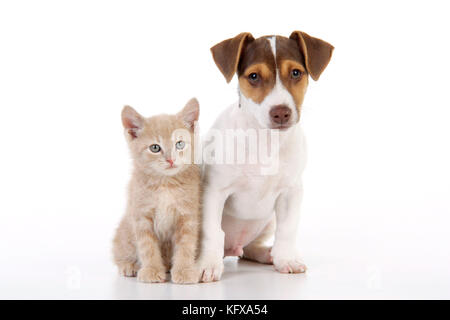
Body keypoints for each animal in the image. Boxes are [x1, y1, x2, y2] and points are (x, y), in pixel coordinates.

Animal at [113, 99, 201, 284]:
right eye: (155, 148)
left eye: (179, 144)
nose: (171, 160)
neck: (165, 184)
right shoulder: (141, 215)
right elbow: (147, 246)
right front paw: (152, 270)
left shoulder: (187, 215)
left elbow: (186, 245)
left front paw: (184, 270)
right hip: (125, 230)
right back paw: (128, 265)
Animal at [199, 30, 332, 282]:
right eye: (254, 76)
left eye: (296, 73)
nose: (281, 112)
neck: (266, 140)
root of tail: (231, 248)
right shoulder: (214, 191)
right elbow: (211, 231)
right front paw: (208, 264)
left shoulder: (291, 192)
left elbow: (287, 229)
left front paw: (286, 259)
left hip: (266, 222)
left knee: (249, 248)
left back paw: (267, 253)